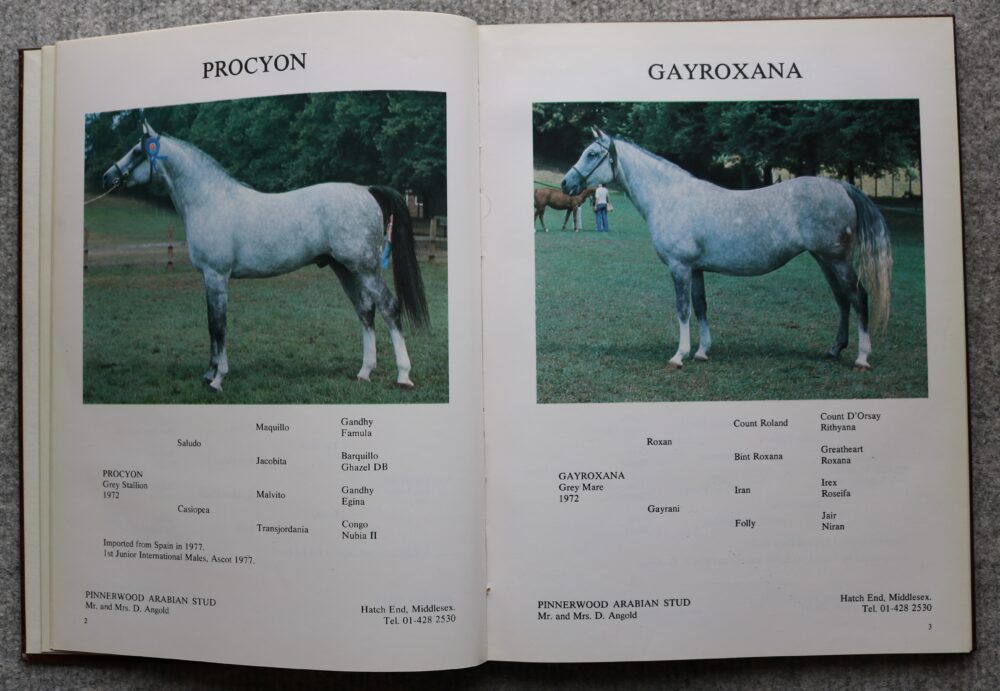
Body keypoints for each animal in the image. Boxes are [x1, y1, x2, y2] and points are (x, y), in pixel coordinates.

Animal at [102, 122, 428, 392]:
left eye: (136, 150)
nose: (107, 177)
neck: (209, 200)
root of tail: (366, 190)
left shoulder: (217, 276)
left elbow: (219, 327)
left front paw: (218, 379)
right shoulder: (208, 278)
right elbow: (210, 326)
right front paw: (208, 374)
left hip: (365, 268)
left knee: (388, 308)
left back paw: (403, 376)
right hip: (346, 270)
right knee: (365, 311)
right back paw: (364, 372)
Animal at [560, 127, 891, 372]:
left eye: (592, 154)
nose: (565, 183)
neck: (670, 197)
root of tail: (841, 186)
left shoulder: (680, 267)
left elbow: (683, 309)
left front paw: (679, 356)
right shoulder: (696, 270)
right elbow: (701, 307)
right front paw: (702, 352)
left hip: (838, 260)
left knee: (859, 297)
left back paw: (862, 358)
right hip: (824, 259)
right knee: (842, 300)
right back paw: (834, 350)